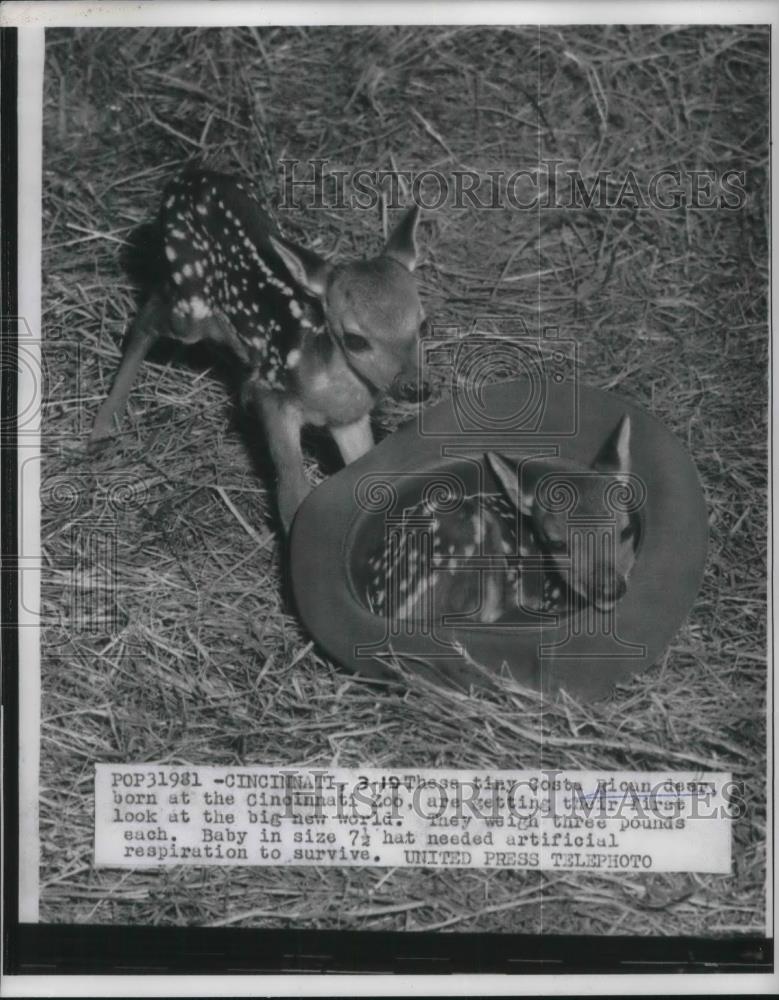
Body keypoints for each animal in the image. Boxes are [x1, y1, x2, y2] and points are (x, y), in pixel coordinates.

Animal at [90, 169, 424, 531]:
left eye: (423, 324)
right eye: (355, 339)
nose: (415, 386)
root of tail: (187, 175)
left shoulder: (349, 420)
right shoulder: (273, 398)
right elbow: (292, 498)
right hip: (190, 303)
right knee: (148, 316)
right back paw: (104, 421)